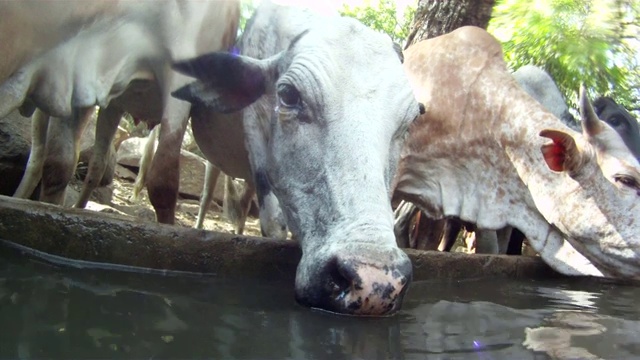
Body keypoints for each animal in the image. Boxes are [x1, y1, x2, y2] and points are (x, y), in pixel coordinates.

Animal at [170, 0, 422, 316]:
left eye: (412, 119)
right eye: (289, 94)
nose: (375, 281)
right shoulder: (254, 129)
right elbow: (273, 223)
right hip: (212, 163)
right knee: (205, 196)